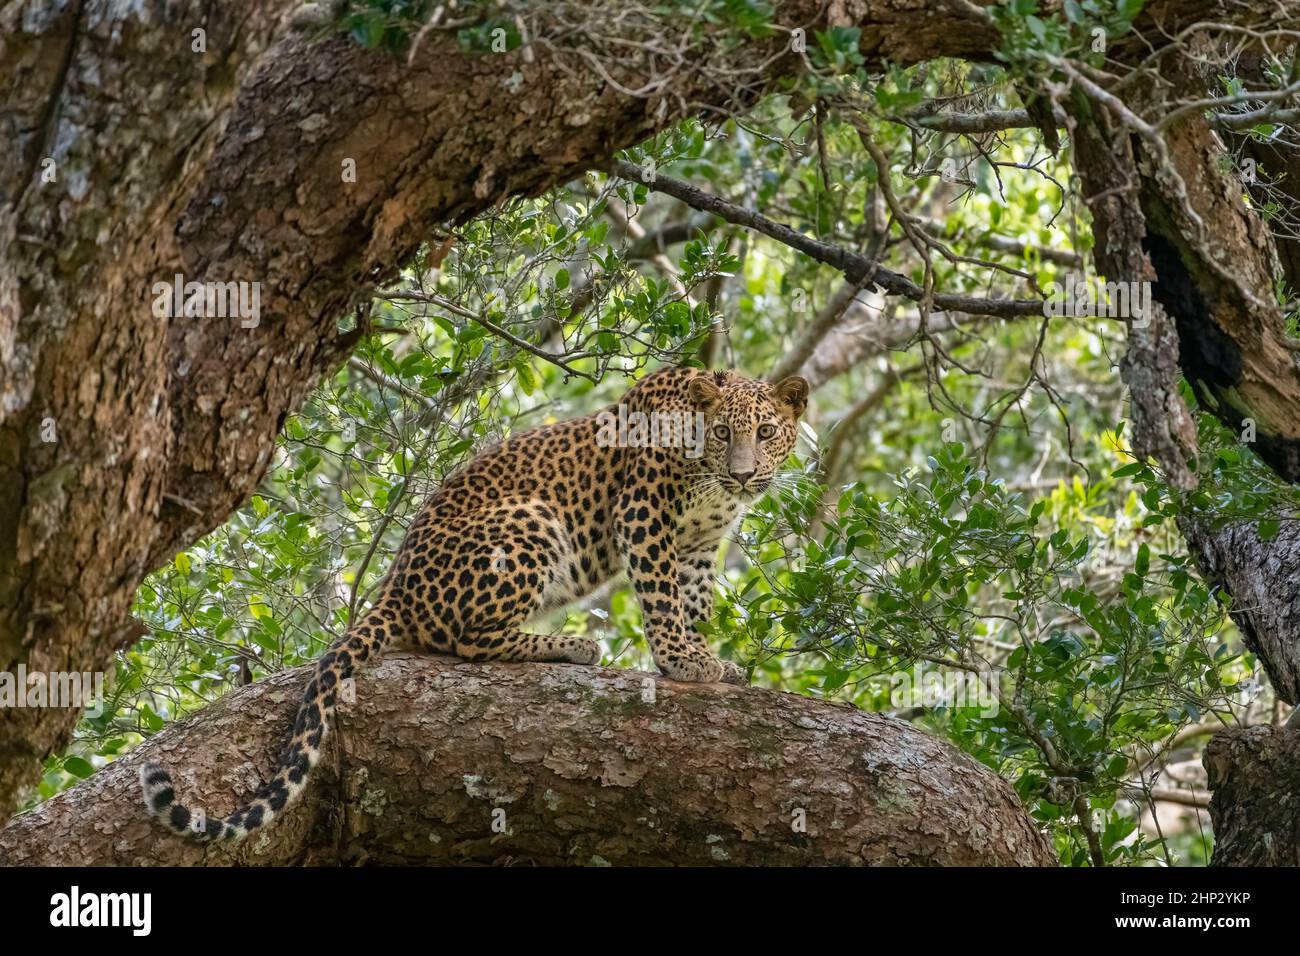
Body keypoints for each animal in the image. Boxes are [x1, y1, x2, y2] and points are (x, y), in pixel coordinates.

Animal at [144, 369, 811, 842]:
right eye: (723, 433)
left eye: (766, 433)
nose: (744, 475)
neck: (708, 480)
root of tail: (394, 587)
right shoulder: (642, 512)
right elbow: (662, 596)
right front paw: (681, 660)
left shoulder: (698, 542)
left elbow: (690, 598)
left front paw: (706, 656)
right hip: (529, 519)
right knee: (470, 641)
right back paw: (572, 646)